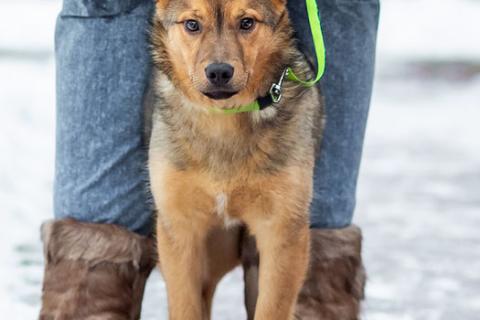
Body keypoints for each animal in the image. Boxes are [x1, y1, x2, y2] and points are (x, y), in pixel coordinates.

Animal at [148, 1, 324, 318]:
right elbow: (184, 306)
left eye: (246, 23)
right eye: (192, 25)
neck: (224, 118)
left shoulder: (283, 232)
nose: (219, 72)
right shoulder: (179, 229)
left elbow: (271, 308)